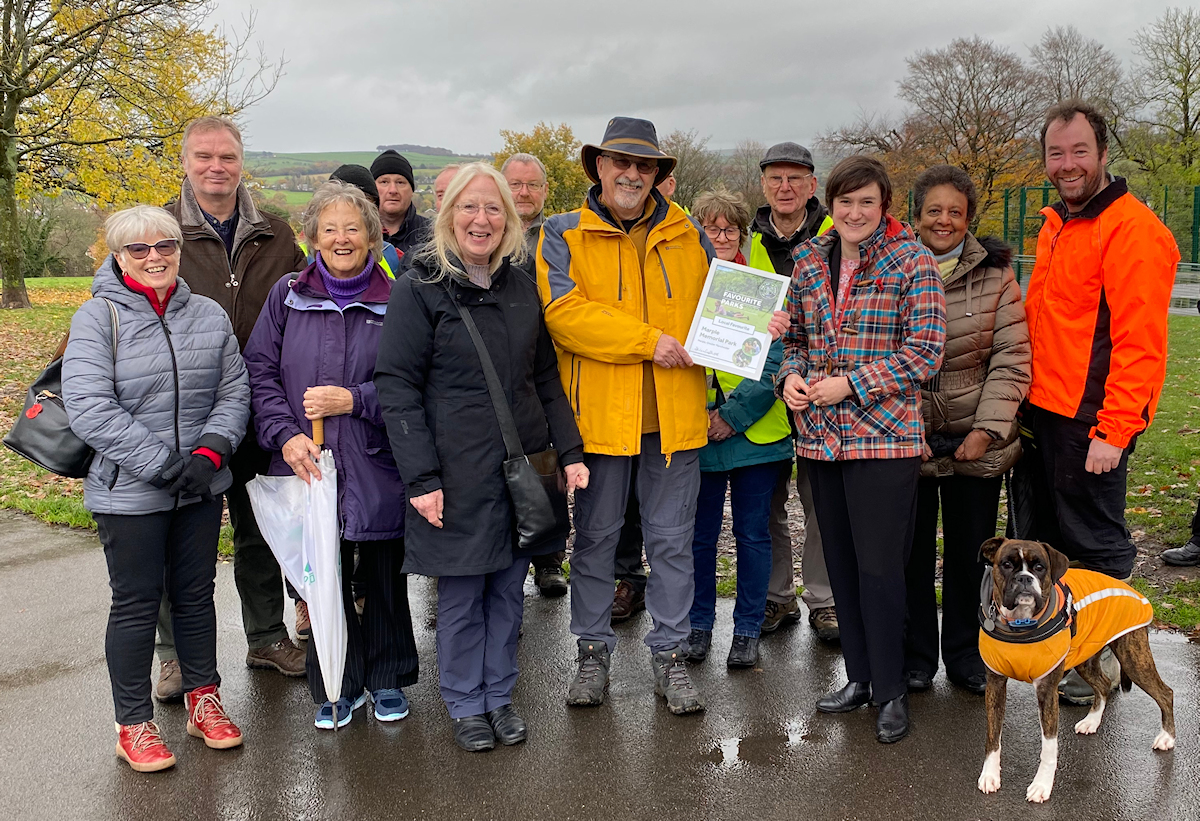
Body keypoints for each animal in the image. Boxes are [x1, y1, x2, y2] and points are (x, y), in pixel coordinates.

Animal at [974, 537, 1171, 801]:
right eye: (1006, 564)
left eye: (1039, 567)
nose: (1024, 578)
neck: (1020, 624)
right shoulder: (995, 685)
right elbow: (993, 736)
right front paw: (990, 775)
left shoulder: (1047, 692)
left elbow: (1048, 746)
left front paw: (1042, 785)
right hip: (1086, 658)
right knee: (1103, 685)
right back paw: (1092, 722)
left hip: (1133, 659)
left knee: (1165, 693)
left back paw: (1167, 737)